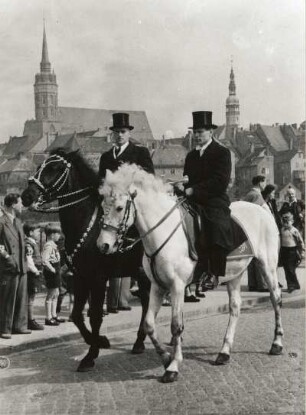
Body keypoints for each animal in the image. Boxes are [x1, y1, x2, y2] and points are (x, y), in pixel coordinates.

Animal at [97, 164, 284, 386]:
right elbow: (149, 324)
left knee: (275, 299)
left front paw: (173, 367)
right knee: (235, 308)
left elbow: (176, 326)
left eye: (119, 207)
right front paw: (166, 357)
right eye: (102, 206)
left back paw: (277, 343)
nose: (103, 245)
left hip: (268, 265)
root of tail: (262, 209)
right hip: (234, 273)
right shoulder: (157, 286)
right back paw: (224, 352)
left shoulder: (177, 286)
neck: (163, 230)